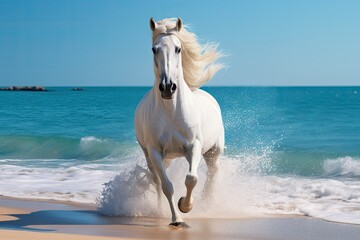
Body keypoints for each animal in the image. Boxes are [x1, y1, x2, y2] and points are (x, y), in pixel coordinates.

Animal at [135, 17, 224, 226]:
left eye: (178, 49)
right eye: (154, 49)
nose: (168, 87)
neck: (171, 112)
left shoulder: (194, 146)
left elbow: (191, 178)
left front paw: (185, 205)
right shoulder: (155, 152)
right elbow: (167, 186)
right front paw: (177, 218)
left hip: (213, 151)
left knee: (212, 174)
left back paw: (207, 203)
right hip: (152, 157)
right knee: (157, 181)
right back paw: (159, 210)